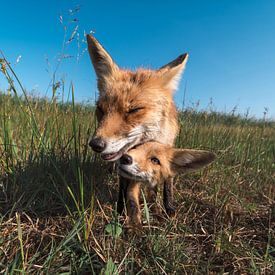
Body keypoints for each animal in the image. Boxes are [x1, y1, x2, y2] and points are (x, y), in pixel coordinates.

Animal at [87, 35, 189, 222]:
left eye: (134, 110)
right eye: (100, 109)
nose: (96, 145)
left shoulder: (167, 147)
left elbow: (167, 182)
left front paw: (168, 207)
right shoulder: (124, 159)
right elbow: (122, 189)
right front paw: (119, 213)